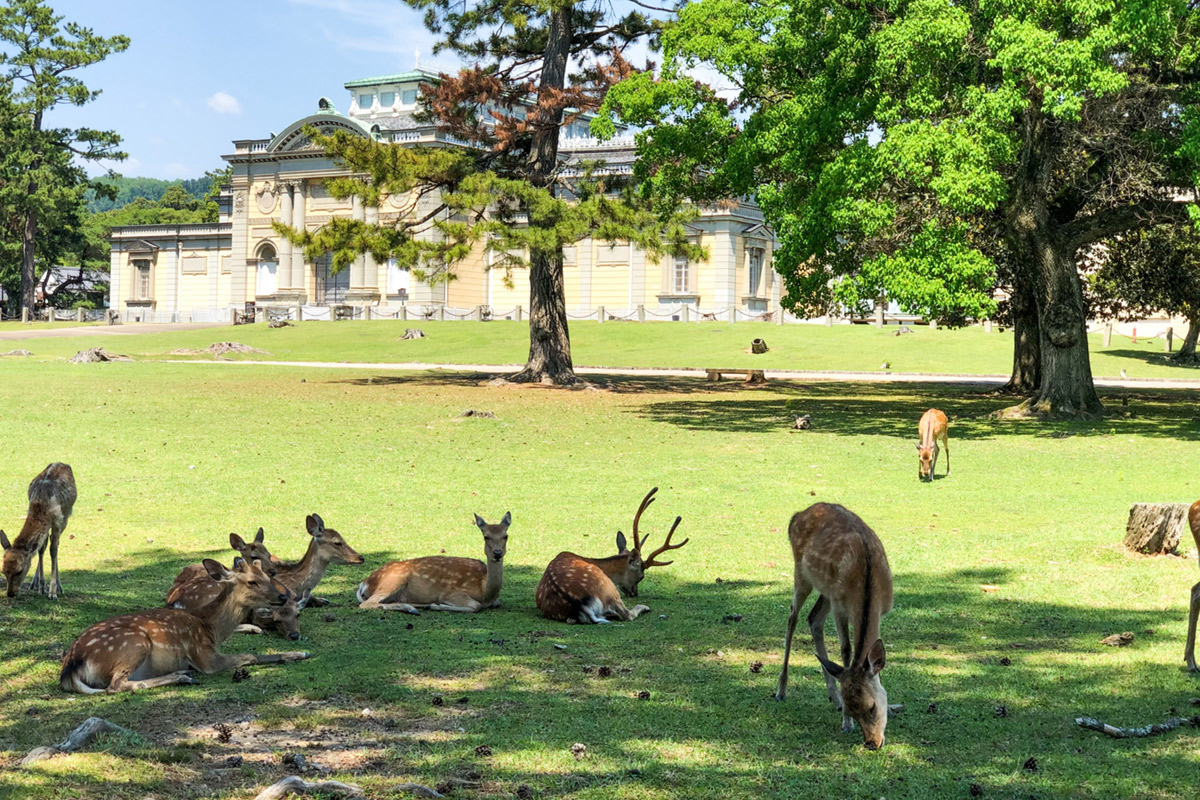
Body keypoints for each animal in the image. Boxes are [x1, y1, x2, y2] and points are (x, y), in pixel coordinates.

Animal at [1, 462, 76, 599]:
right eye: (3, 570)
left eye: (19, 571)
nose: (10, 593)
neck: (41, 505)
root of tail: (63, 464)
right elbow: (41, 549)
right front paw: (41, 587)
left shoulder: (57, 520)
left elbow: (53, 550)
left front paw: (52, 592)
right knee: (43, 545)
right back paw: (34, 584)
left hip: (67, 515)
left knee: (56, 543)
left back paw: (59, 586)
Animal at [58, 556, 312, 695]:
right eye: (252, 582)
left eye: (268, 577)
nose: (281, 596)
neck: (210, 628)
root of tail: (70, 669)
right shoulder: (204, 656)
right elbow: (250, 655)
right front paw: (301, 653)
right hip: (132, 644)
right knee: (117, 685)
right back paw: (182, 676)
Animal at [352, 513, 508, 614]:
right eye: (486, 536)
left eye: (505, 536)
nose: (497, 553)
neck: (485, 591)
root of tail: (364, 583)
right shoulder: (451, 593)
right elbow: (476, 606)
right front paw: (436, 605)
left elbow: (496, 603)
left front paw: (432, 605)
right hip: (394, 579)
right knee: (367, 603)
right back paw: (414, 608)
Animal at [535, 489, 686, 623]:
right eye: (641, 577)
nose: (634, 594)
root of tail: (580, 606)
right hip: (608, 588)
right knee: (626, 615)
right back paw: (643, 607)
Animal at [772, 506, 897, 753]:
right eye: (852, 711)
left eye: (872, 707)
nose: (871, 743)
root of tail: (797, 515)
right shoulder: (840, 606)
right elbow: (846, 649)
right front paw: (846, 723)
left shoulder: (879, 610)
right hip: (802, 573)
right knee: (793, 616)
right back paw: (782, 690)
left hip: (827, 590)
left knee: (813, 618)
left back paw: (832, 697)